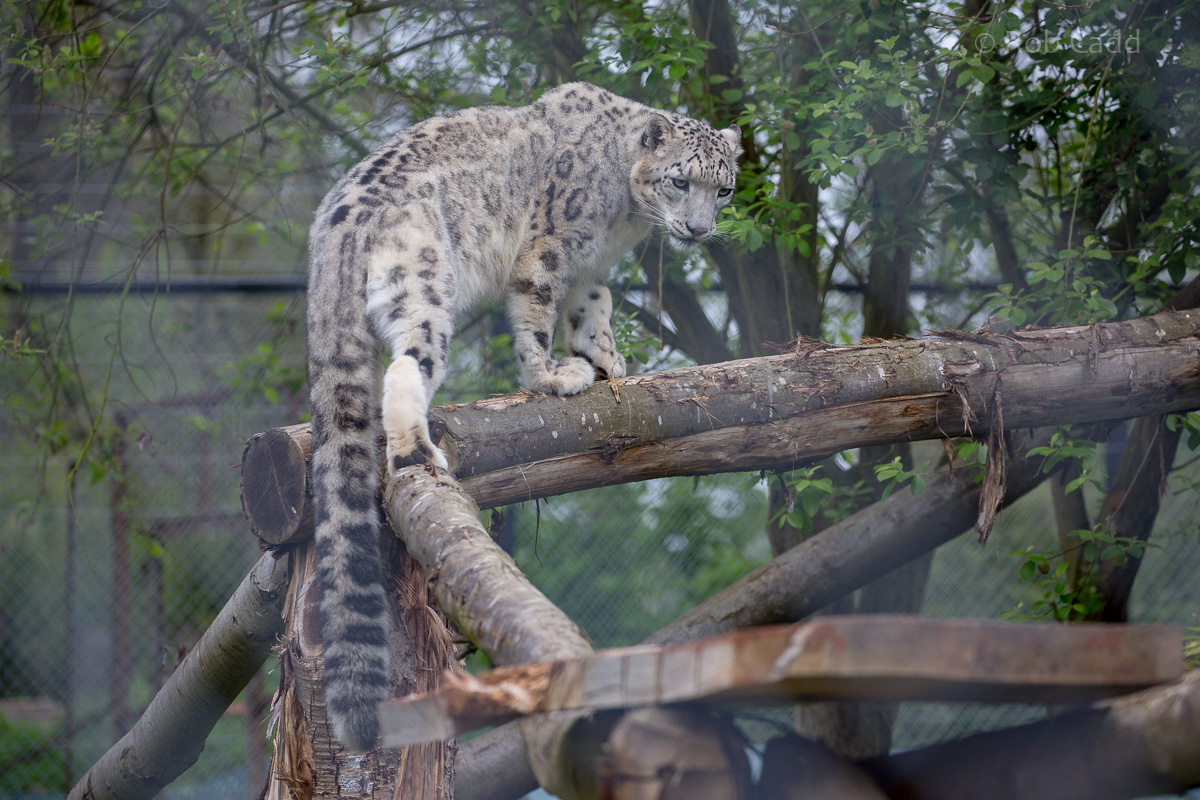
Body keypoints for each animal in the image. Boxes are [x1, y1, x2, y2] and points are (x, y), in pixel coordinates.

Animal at [305, 81, 741, 751]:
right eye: (679, 180)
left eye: (723, 188)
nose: (698, 229)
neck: (622, 219)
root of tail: (337, 222)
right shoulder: (551, 246)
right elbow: (538, 311)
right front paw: (553, 375)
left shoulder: (590, 264)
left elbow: (594, 304)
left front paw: (607, 358)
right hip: (424, 284)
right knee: (406, 367)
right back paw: (416, 449)